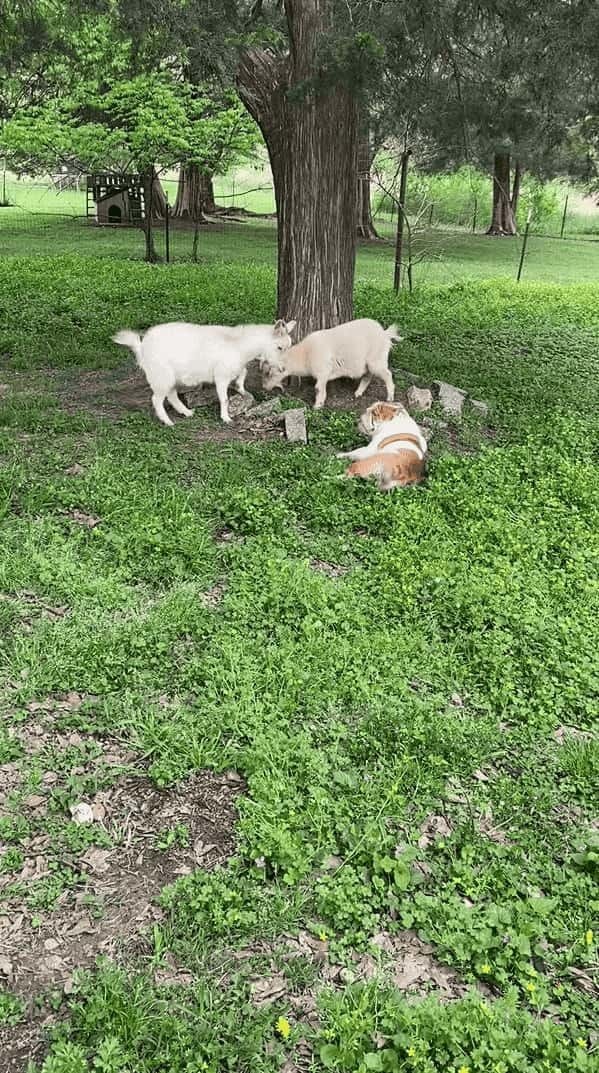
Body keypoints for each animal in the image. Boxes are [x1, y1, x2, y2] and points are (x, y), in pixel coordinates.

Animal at [263, 317, 403, 409]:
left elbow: (318, 388)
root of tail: (385, 334)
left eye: (270, 373)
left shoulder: (323, 371)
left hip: (376, 359)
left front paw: (317, 406)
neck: (304, 356)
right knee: (368, 376)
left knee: (387, 374)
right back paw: (358, 393)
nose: (264, 388)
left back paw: (390, 398)